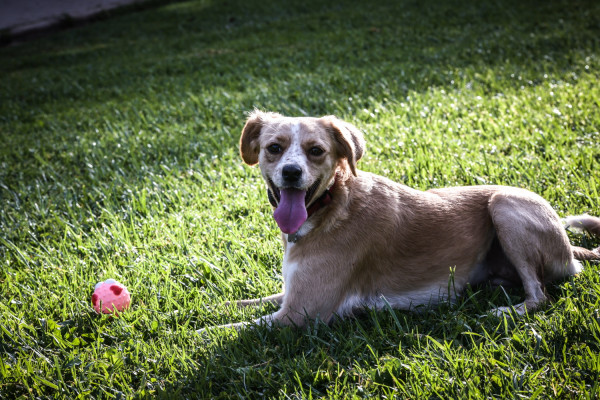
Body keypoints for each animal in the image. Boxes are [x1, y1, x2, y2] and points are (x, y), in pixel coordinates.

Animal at [199, 110, 596, 332]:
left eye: (316, 151)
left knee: (540, 295)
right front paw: (215, 306)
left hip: (504, 204)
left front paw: (189, 333)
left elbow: (225, 331)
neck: (331, 206)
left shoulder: (300, 314)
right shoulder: (294, 294)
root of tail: (569, 245)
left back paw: (506, 311)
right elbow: (251, 302)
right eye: (274, 148)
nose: (292, 172)